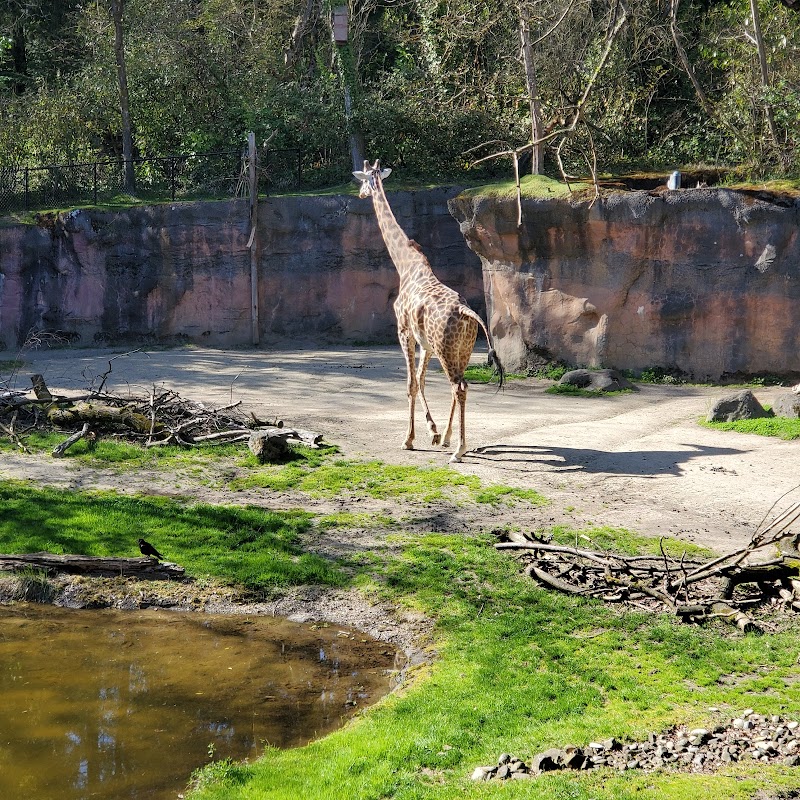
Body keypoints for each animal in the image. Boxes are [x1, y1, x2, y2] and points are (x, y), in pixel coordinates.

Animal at [354, 159, 504, 460]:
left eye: (362, 180)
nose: (361, 194)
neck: (406, 265)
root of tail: (467, 313)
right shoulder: (426, 343)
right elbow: (421, 381)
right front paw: (434, 432)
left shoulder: (404, 332)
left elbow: (411, 383)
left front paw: (409, 439)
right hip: (462, 349)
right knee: (459, 385)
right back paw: (450, 439)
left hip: (446, 349)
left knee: (459, 386)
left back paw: (459, 449)